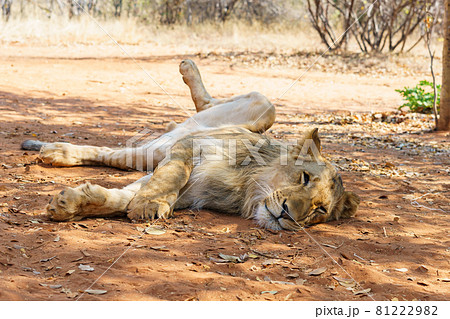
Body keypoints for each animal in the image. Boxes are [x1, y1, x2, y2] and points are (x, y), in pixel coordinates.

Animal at [21, 59, 360, 230]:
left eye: (319, 210)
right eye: (304, 177)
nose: (287, 214)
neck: (248, 187)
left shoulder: (191, 194)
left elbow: (121, 198)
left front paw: (72, 204)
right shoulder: (192, 144)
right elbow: (172, 175)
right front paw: (149, 204)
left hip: (151, 152)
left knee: (114, 157)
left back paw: (55, 153)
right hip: (256, 111)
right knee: (212, 104)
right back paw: (188, 68)